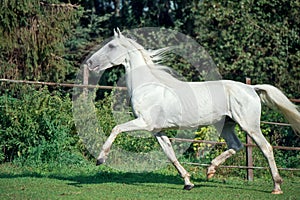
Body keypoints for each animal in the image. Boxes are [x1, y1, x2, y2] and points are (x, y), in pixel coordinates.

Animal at [85, 28, 300, 194]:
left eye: (111, 46)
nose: (89, 63)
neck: (147, 85)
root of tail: (251, 88)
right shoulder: (157, 131)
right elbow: (170, 155)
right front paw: (188, 183)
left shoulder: (144, 123)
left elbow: (116, 129)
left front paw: (100, 159)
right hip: (226, 125)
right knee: (236, 145)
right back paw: (210, 170)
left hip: (249, 125)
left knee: (266, 148)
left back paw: (276, 187)